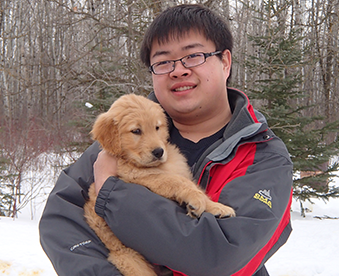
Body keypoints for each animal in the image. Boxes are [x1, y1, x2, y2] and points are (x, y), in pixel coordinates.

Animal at [83, 94, 235, 274]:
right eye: (136, 131)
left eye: (157, 127)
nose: (159, 152)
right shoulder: (140, 177)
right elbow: (177, 181)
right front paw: (196, 200)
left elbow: (195, 186)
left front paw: (217, 207)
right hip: (129, 258)